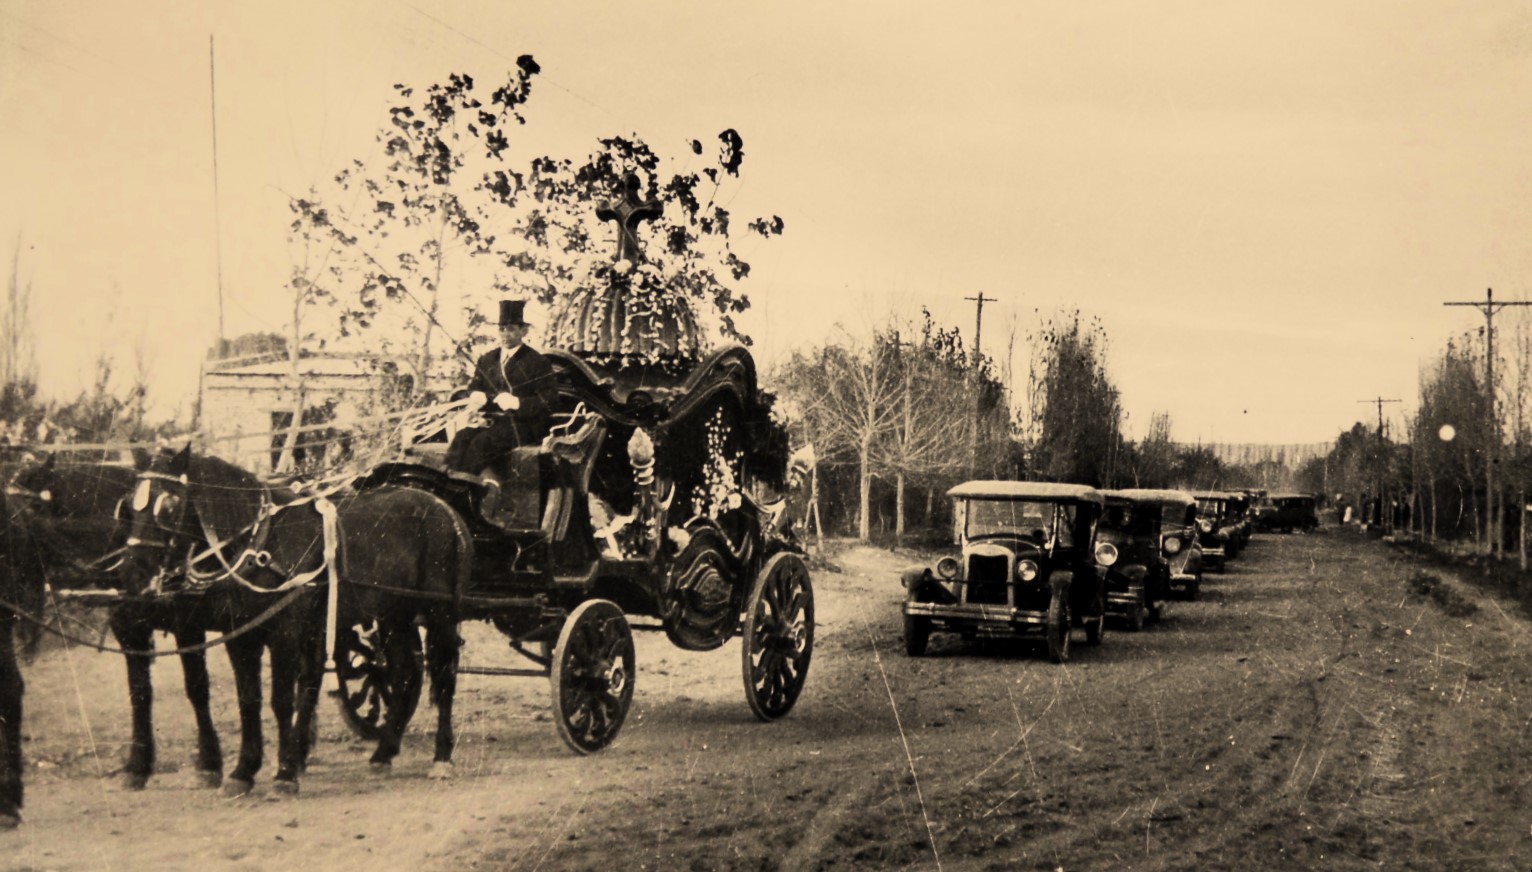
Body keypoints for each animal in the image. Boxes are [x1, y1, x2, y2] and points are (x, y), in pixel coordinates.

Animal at [130, 447, 477, 781]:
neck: (260, 542)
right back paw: (383, 753)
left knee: (444, 675)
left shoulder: (285, 633)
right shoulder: (241, 635)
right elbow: (249, 699)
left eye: (169, 503)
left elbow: (283, 701)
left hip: (440, 613)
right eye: (132, 507)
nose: (135, 567)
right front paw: (245, 770)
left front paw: (285, 772)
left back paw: (442, 757)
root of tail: (445, 510)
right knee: (404, 672)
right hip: (394, 616)